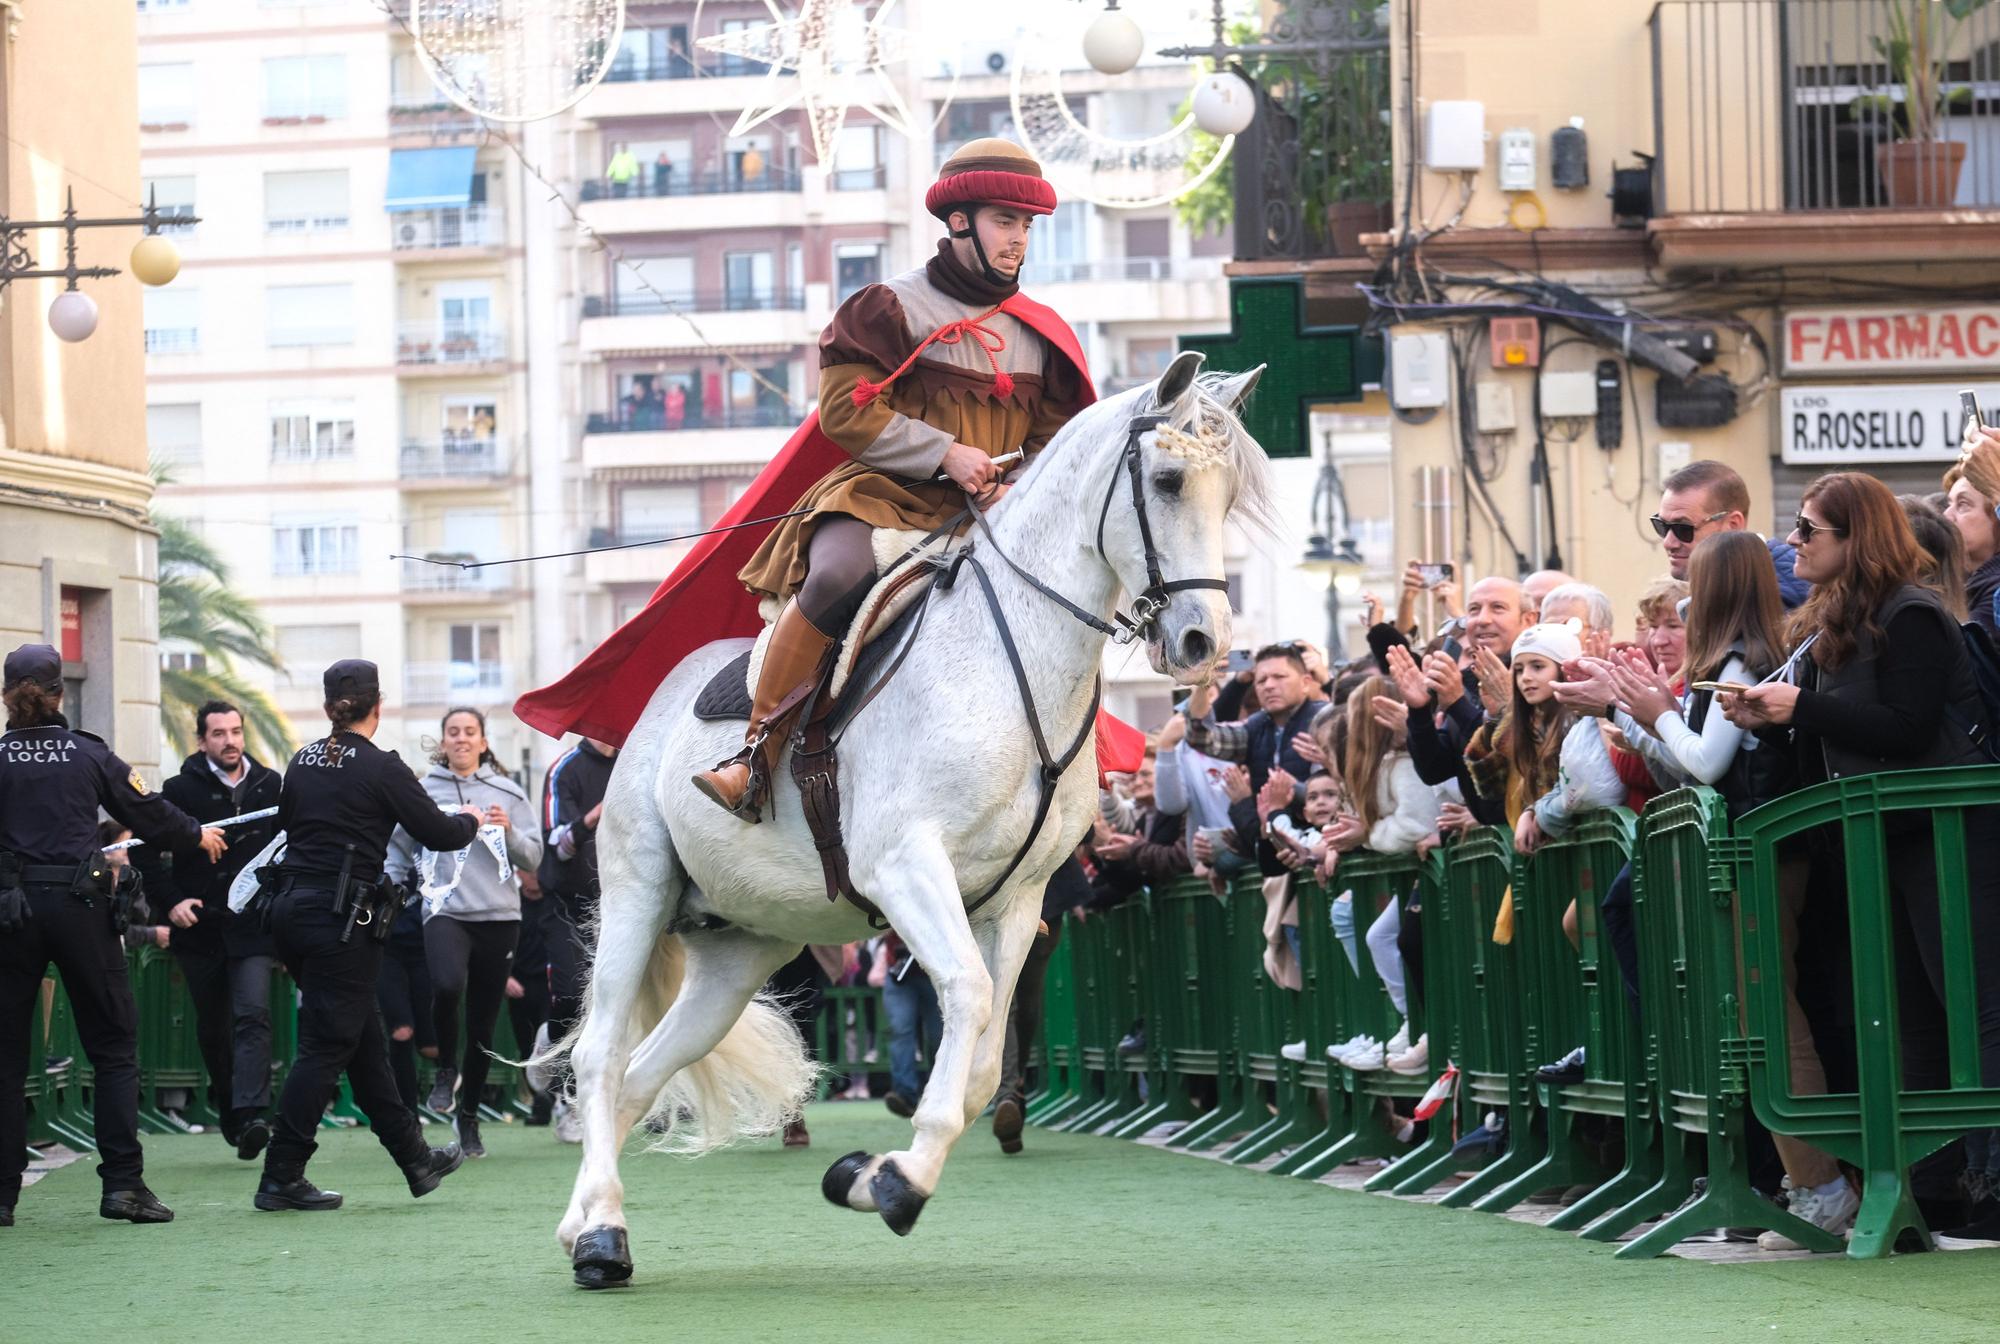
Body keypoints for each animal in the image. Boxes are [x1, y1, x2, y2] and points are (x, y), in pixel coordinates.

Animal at [548, 352, 1264, 1288]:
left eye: (1230, 492)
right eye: (1169, 481)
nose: (1202, 643)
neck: (1010, 662)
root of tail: (650, 708)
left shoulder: (1018, 902)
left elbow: (984, 1055)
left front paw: (870, 1173)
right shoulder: (905, 868)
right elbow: (967, 994)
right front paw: (901, 1180)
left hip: (739, 951)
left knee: (641, 1072)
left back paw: (586, 1222)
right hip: (639, 890)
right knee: (600, 1056)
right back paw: (602, 1236)